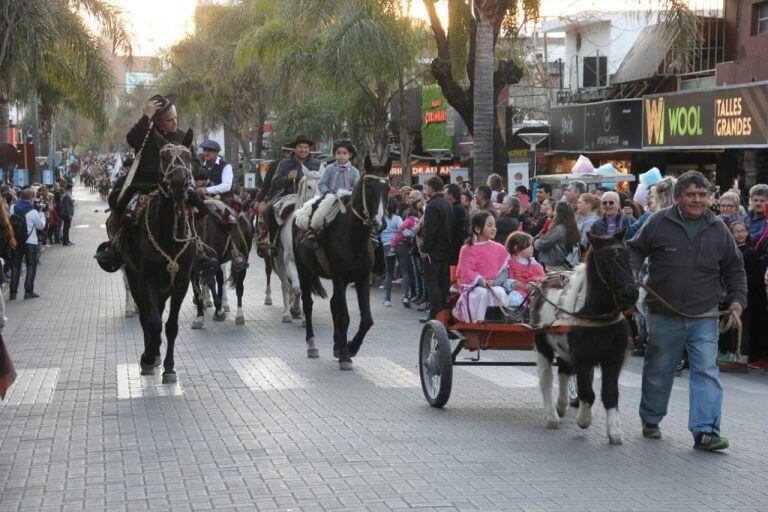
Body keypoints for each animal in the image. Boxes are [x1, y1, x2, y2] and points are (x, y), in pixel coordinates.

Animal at [121, 130, 196, 382]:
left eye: (189, 156)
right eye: (163, 157)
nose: (179, 184)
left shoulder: (182, 282)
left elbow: (171, 326)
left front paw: (170, 367)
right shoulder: (146, 280)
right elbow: (152, 322)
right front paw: (149, 355)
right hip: (134, 279)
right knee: (146, 317)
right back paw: (150, 355)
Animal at [292, 158, 392, 370]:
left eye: (387, 188)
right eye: (368, 187)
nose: (379, 223)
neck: (353, 237)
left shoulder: (362, 279)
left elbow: (366, 319)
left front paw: (349, 347)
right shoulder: (339, 277)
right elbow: (344, 315)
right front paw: (346, 354)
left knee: (333, 305)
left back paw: (337, 344)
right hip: (303, 270)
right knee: (308, 304)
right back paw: (312, 345)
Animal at [532, 230, 640, 446]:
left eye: (627, 257)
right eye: (604, 262)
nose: (630, 293)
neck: (596, 315)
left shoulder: (613, 359)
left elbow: (610, 393)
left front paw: (614, 431)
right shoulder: (583, 358)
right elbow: (587, 392)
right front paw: (584, 419)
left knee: (563, 372)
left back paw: (562, 405)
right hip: (543, 345)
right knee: (546, 378)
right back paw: (551, 416)